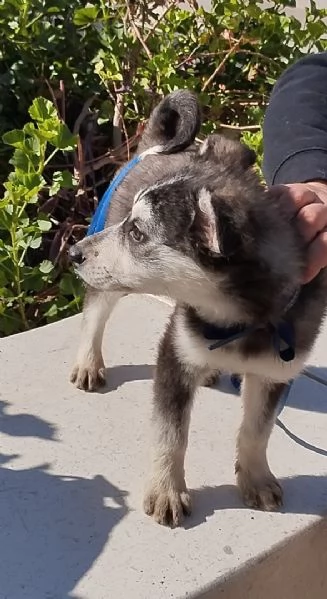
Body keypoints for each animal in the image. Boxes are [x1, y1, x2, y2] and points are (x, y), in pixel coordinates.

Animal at [69, 91, 327, 528]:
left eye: (137, 234)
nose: (73, 253)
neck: (237, 320)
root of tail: (154, 144)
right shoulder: (173, 357)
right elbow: (171, 433)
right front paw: (166, 491)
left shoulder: (276, 372)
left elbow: (257, 430)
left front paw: (255, 478)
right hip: (110, 278)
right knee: (94, 312)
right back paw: (88, 361)